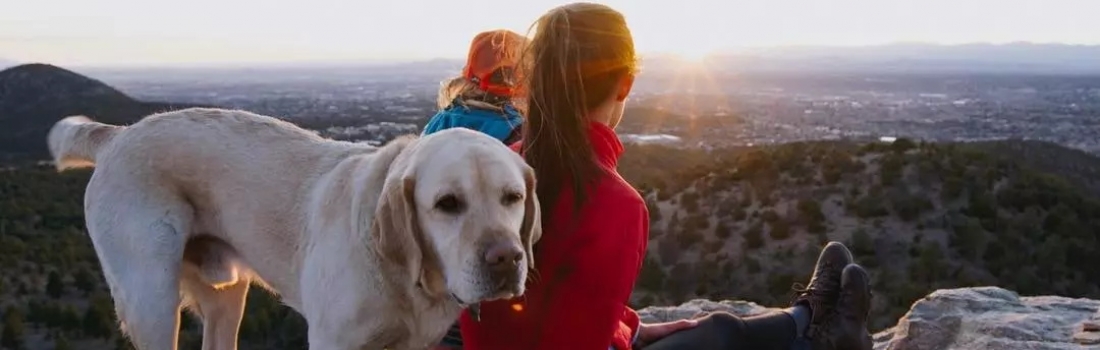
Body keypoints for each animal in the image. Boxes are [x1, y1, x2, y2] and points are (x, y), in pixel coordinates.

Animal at [47, 107, 541, 347]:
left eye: (512, 198)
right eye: (447, 204)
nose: (506, 259)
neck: (406, 278)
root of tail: (118, 135)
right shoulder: (332, 342)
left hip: (226, 296)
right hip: (151, 299)